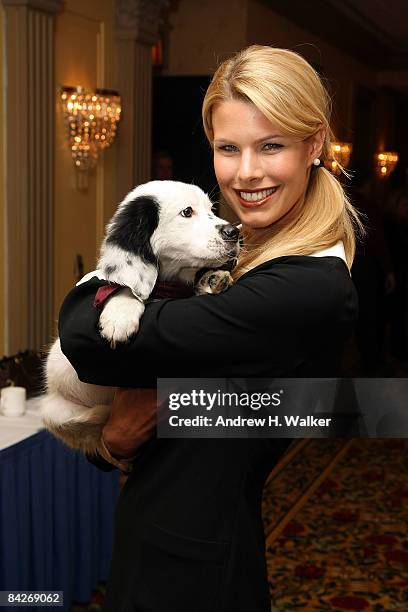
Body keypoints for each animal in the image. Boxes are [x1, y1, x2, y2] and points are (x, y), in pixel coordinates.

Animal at [40, 180, 239, 454]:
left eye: (211, 209)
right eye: (187, 212)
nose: (235, 232)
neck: (168, 287)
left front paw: (211, 278)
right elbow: (121, 285)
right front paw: (121, 314)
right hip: (56, 412)